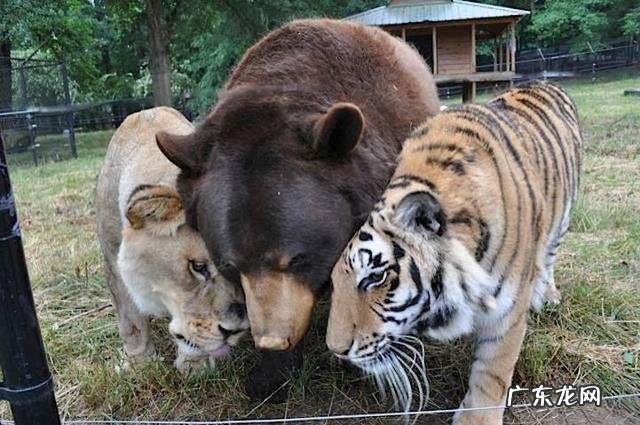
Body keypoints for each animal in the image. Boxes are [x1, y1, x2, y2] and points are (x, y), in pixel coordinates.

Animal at [326, 81, 582, 424]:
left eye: (375, 277)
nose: (336, 350)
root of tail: (545, 82)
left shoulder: (508, 312)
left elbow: (493, 371)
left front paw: (477, 419)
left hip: (563, 217)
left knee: (550, 254)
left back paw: (549, 294)